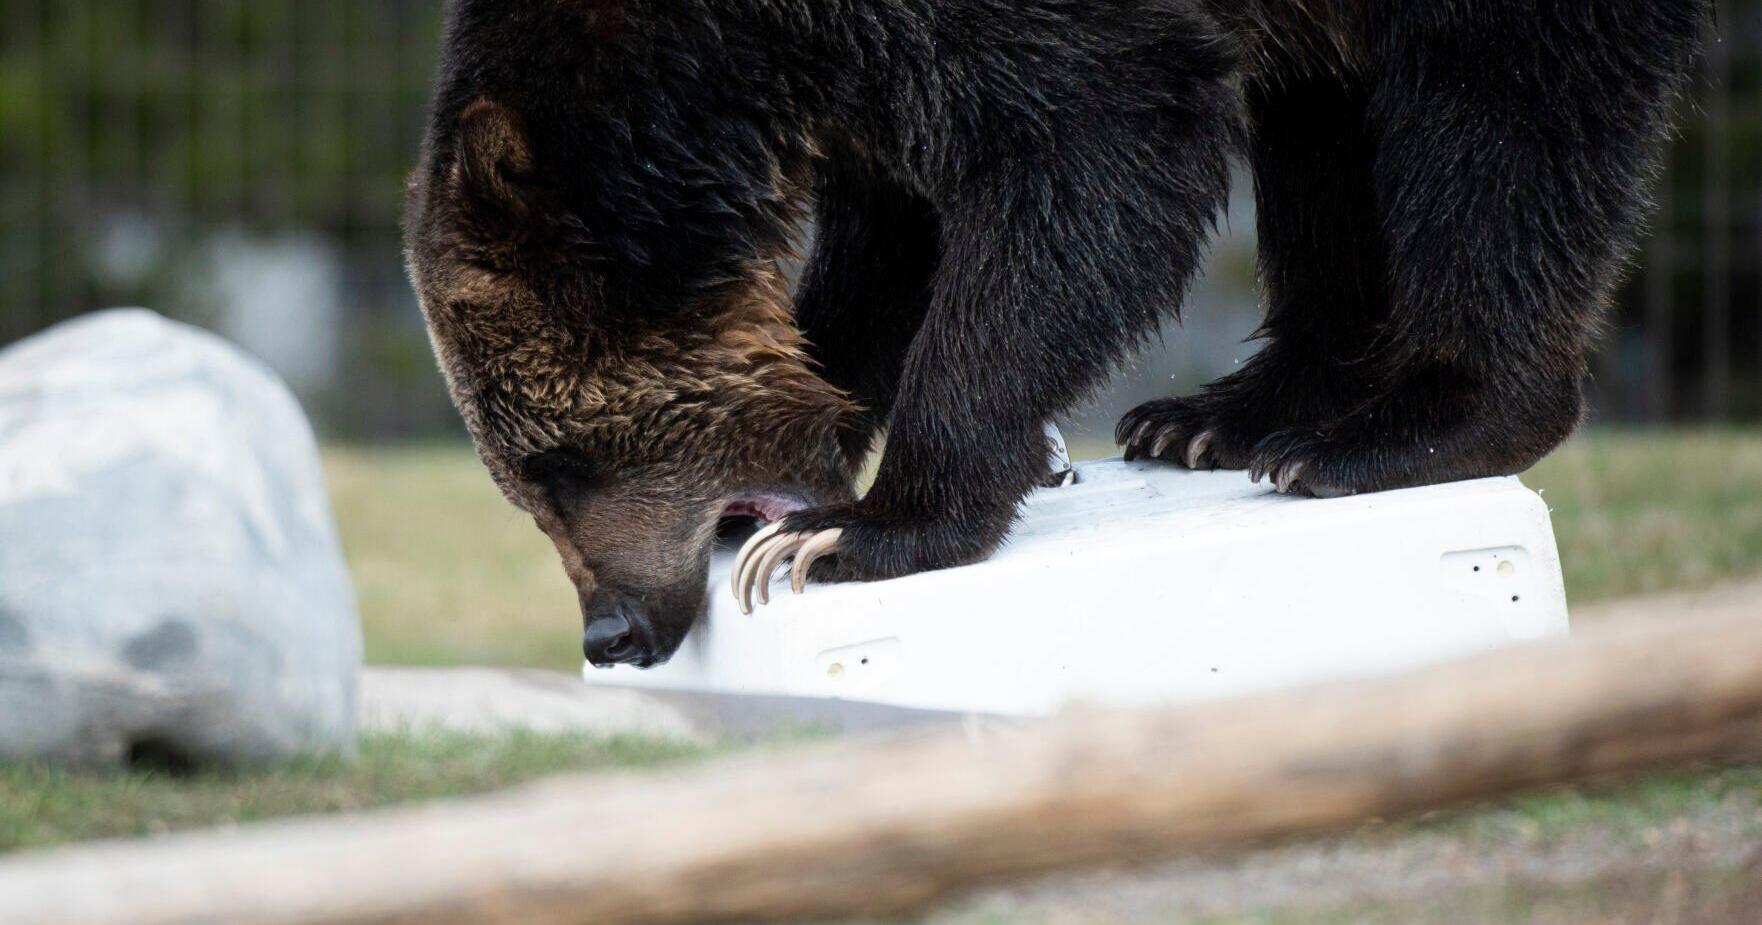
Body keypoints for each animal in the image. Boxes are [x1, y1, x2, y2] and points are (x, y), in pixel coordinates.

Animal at [406, 0, 1706, 667]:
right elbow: (897, 225)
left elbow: (1096, 145)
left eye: (556, 463)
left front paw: (859, 529)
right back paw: (1221, 414)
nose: (610, 631)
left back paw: (1400, 425)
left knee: (1506, 106)